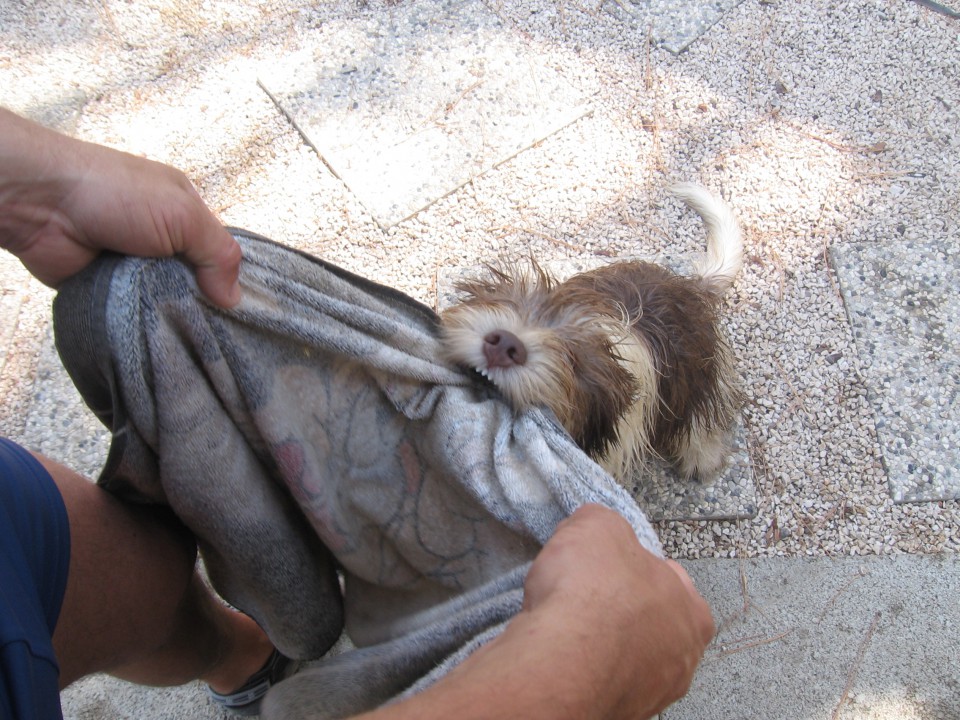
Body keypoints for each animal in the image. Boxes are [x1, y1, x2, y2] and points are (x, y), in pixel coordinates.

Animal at [438, 181, 748, 484]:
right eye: (508, 303)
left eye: (572, 359)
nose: (504, 346)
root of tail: (691, 286)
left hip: (697, 374)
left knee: (702, 415)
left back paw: (703, 456)